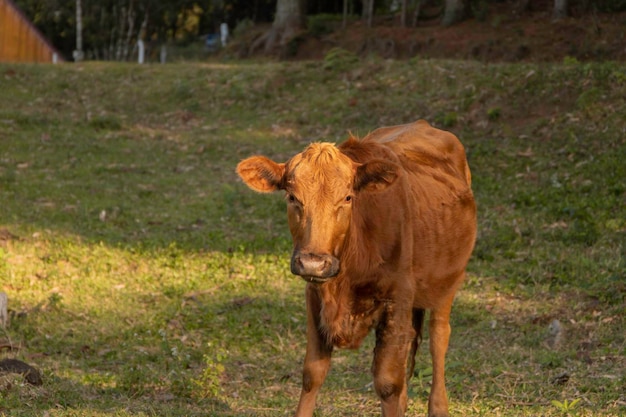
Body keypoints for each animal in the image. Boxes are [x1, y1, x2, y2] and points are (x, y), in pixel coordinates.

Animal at [236, 118, 476, 414]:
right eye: (292, 197)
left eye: (348, 198)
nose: (313, 262)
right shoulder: (314, 296)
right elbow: (312, 374)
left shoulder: (398, 298)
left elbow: (387, 383)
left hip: (449, 281)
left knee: (439, 337)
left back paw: (438, 406)